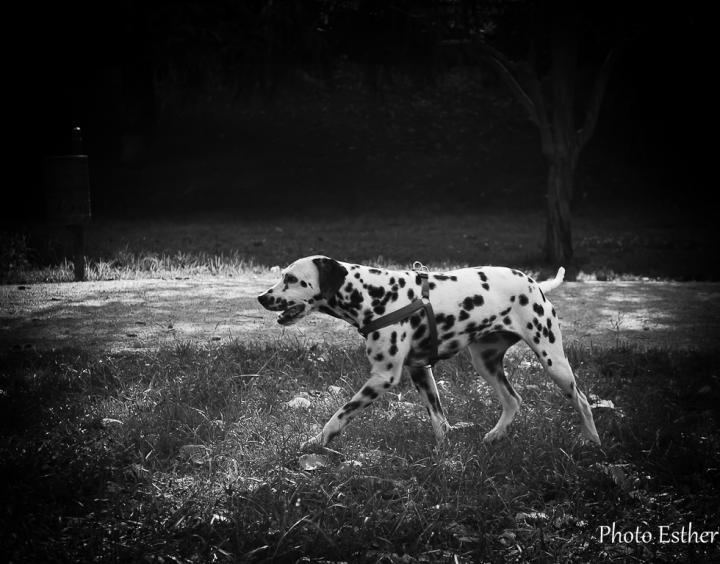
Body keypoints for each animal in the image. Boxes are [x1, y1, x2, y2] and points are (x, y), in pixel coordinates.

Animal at [256, 256, 600, 450]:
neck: (374, 294)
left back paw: (592, 442)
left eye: (290, 278)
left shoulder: (383, 377)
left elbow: (339, 414)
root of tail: (535, 283)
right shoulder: (420, 371)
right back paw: (495, 435)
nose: (261, 297)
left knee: (582, 400)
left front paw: (317, 441)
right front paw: (446, 459)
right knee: (513, 400)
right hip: (485, 362)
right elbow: (439, 422)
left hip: (554, 362)